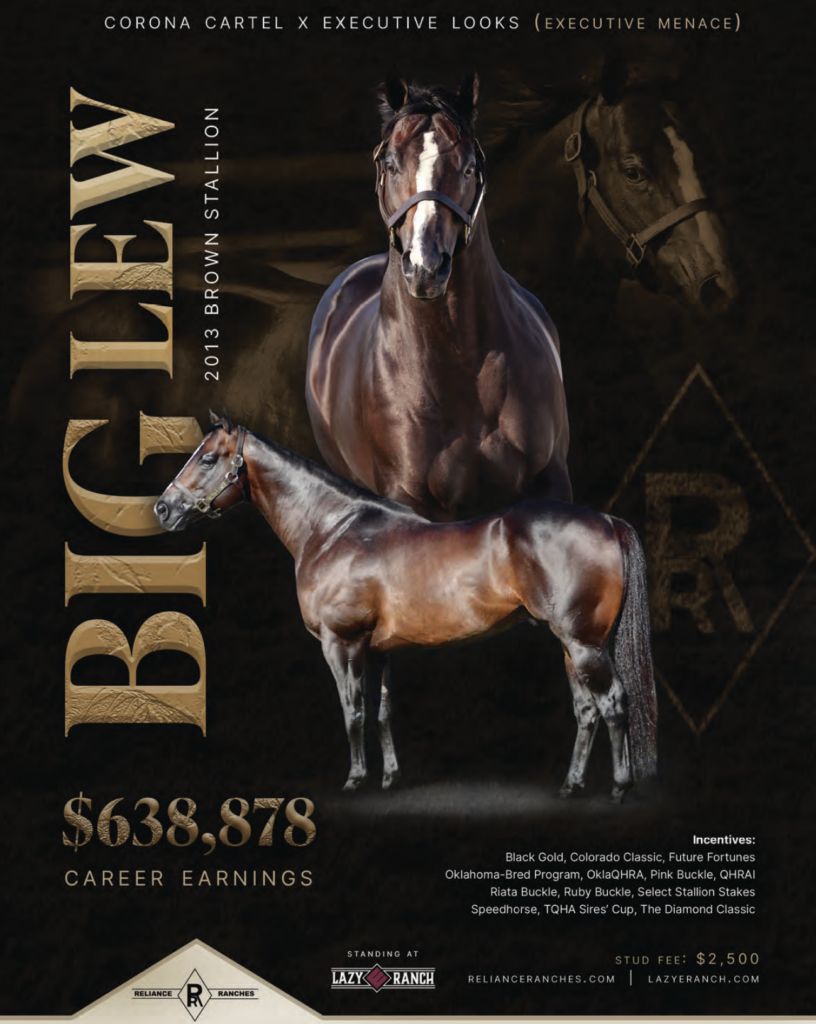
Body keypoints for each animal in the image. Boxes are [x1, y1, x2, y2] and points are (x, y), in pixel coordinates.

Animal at [155, 415, 657, 802]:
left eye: (207, 457)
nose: (164, 508)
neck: (333, 529)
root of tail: (607, 521)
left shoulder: (342, 644)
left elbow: (353, 712)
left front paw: (355, 781)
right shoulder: (378, 650)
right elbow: (381, 712)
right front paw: (390, 778)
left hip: (584, 643)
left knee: (613, 703)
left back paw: (619, 788)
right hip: (574, 646)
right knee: (586, 711)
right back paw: (571, 787)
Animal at [306, 72, 571, 522]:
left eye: (468, 168)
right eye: (390, 164)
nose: (425, 265)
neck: (461, 364)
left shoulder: (550, 483)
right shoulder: (412, 501)